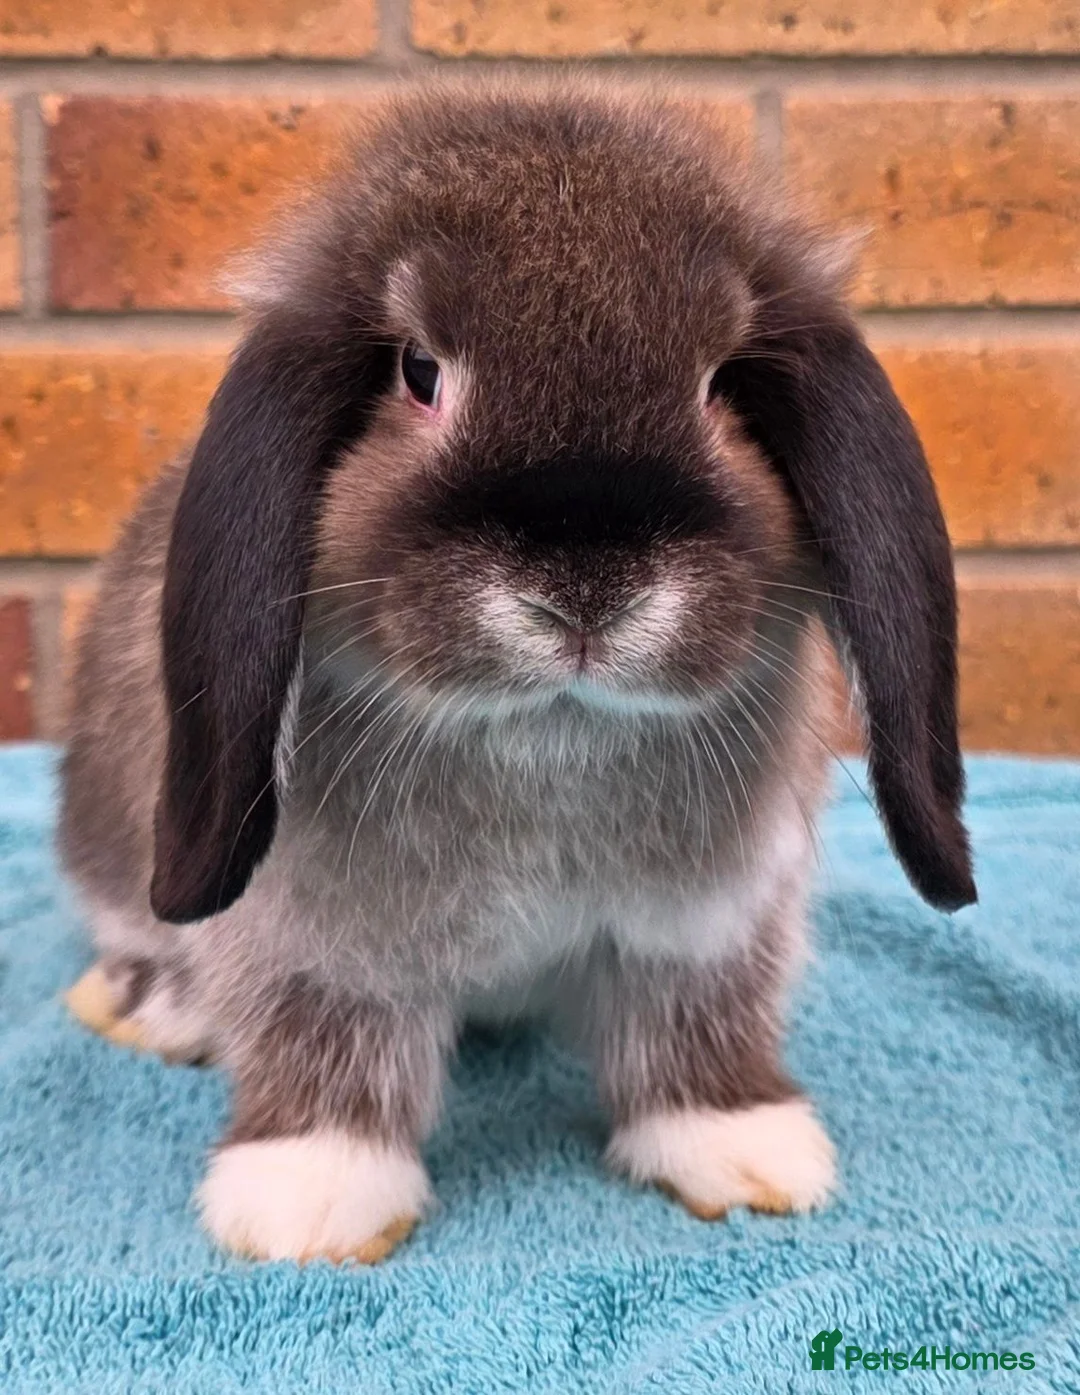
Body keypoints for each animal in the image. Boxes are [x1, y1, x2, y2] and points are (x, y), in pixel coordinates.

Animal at [58, 78, 976, 1265]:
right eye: (419, 372)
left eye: (722, 383)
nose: (587, 590)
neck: (552, 734)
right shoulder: (318, 939)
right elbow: (326, 1036)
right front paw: (311, 1200)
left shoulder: (706, 925)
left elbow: (693, 1023)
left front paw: (739, 1148)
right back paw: (152, 1009)